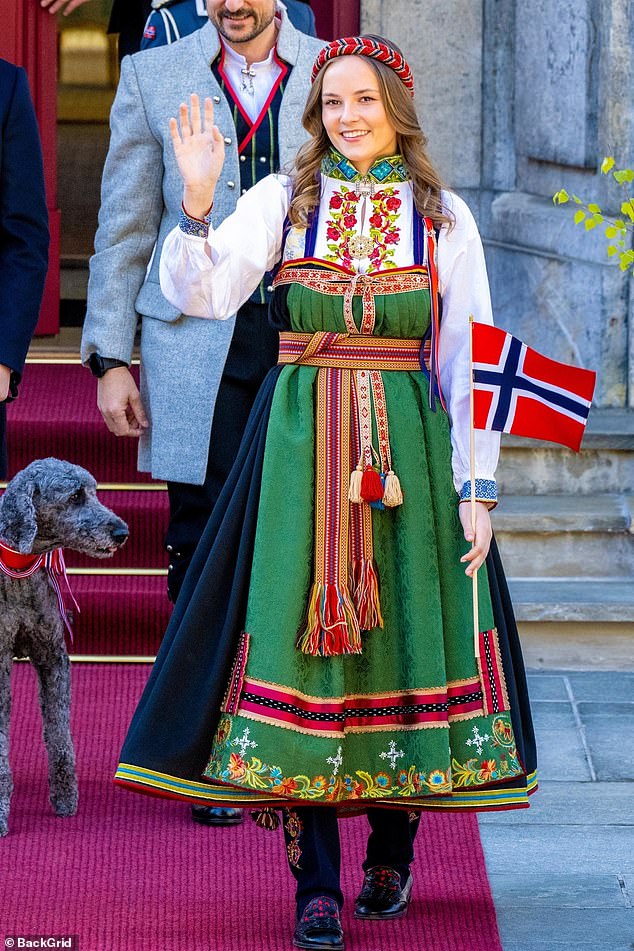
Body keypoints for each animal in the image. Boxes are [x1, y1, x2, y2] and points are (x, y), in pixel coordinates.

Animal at [0, 458, 128, 836]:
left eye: (95, 491)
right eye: (75, 496)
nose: (122, 532)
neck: (18, 572)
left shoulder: (53, 656)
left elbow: (59, 734)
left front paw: (65, 796)